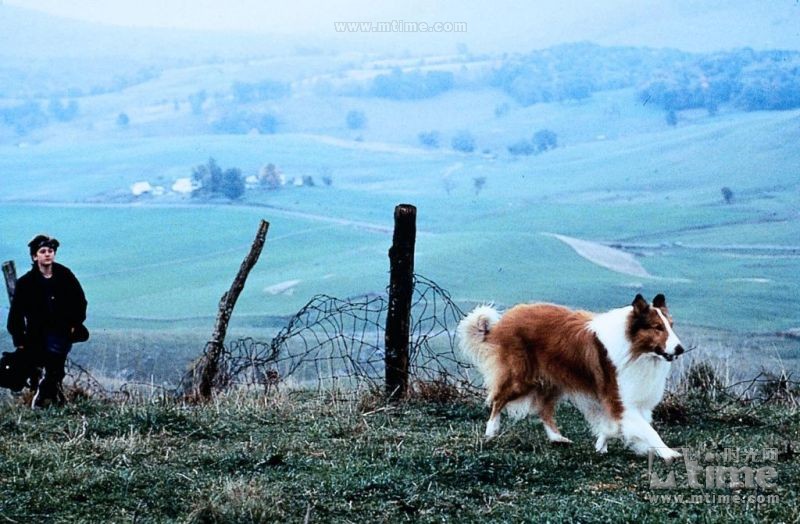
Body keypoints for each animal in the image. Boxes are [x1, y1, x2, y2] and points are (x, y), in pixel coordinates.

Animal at [460, 292, 684, 460]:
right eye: (657, 327)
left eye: (671, 325)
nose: (680, 349)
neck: (635, 349)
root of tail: (504, 321)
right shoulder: (620, 401)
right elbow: (648, 430)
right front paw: (669, 453)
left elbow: (616, 427)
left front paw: (602, 444)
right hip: (521, 379)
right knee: (497, 400)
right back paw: (491, 432)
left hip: (552, 381)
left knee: (543, 409)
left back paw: (557, 438)